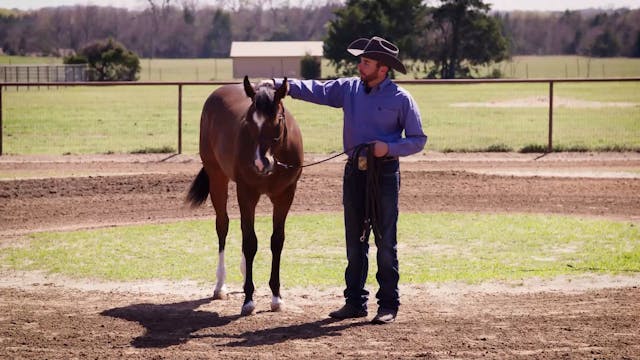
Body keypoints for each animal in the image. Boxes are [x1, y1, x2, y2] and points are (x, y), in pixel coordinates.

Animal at [186, 75, 304, 316]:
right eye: (249, 122)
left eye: (277, 120)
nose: (260, 163)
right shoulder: (247, 193)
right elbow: (250, 242)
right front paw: (248, 299)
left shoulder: (285, 195)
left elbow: (276, 241)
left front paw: (276, 297)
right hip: (217, 178)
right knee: (223, 226)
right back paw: (220, 286)